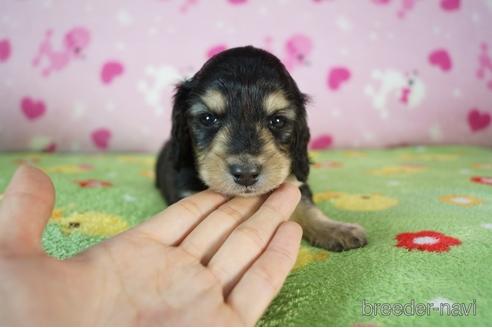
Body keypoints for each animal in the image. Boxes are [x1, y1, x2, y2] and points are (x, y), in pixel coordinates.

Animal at [156, 46, 368, 251]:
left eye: (277, 121)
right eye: (208, 119)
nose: (246, 175)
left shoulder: (294, 180)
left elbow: (305, 205)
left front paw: (336, 229)